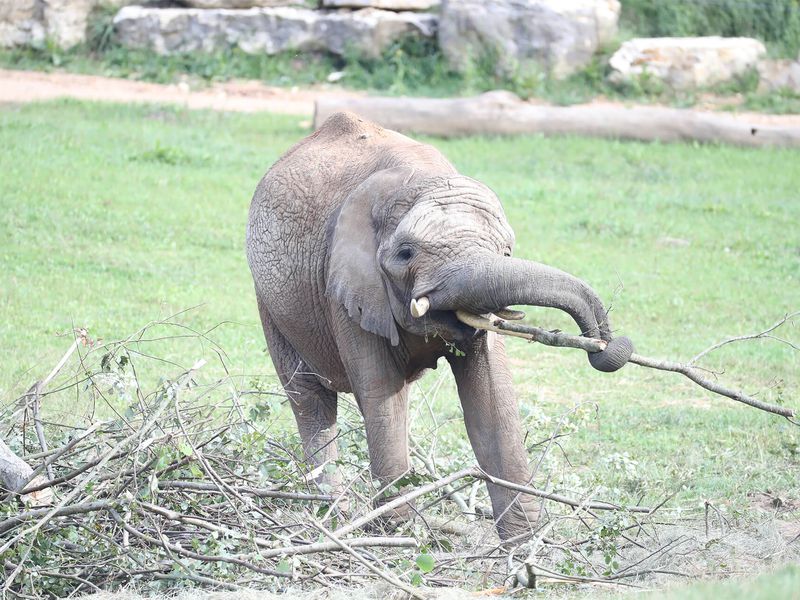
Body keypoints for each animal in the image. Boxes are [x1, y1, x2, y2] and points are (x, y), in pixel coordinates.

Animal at [244, 111, 632, 540]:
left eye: (506, 253)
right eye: (405, 253)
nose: (607, 345)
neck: (419, 177)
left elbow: (492, 397)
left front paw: (524, 545)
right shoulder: (345, 283)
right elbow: (381, 392)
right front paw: (400, 537)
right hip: (270, 302)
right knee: (308, 398)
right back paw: (330, 516)